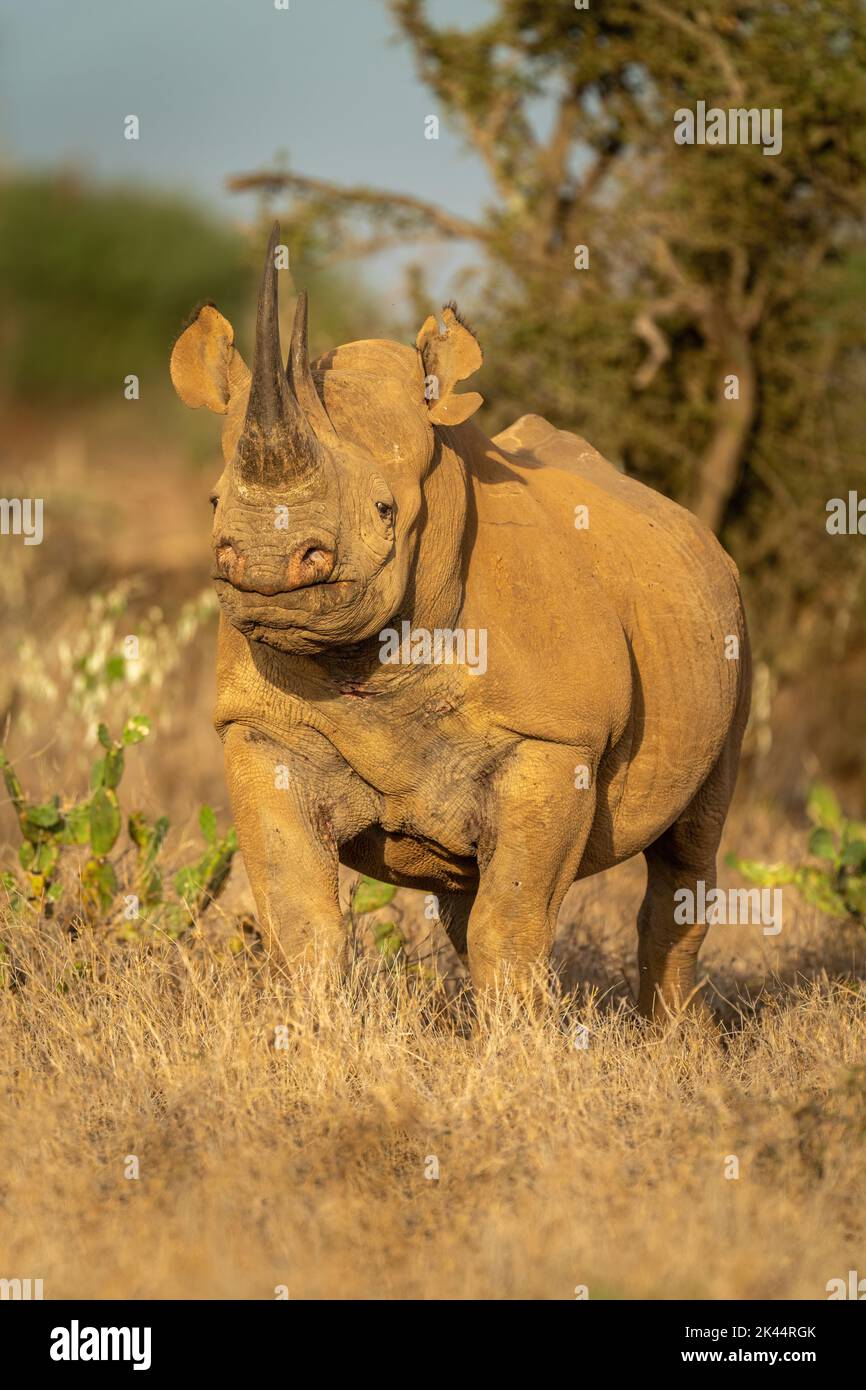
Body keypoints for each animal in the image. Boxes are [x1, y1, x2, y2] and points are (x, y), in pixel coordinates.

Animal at [170, 223, 750, 1018]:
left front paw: (520, 1043)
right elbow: (301, 917)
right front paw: (312, 1031)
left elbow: (513, 920)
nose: (265, 562)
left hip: (734, 627)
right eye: (212, 503)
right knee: (461, 892)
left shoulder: (556, 739)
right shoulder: (259, 725)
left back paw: (675, 1034)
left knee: (689, 847)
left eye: (385, 510)